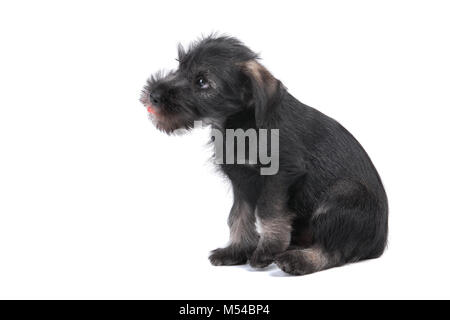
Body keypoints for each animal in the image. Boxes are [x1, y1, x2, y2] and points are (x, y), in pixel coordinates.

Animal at [140, 34, 386, 276]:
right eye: (180, 67)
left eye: (202, 81)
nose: (153, 95)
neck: (240, 125)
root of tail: (381, 243)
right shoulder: (240, 180)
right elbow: (238, 215)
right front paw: (237, 249)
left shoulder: (281, 173)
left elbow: (269, 210)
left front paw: (267, 249)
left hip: (345, 193)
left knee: (334, 250)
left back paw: (298, 260)